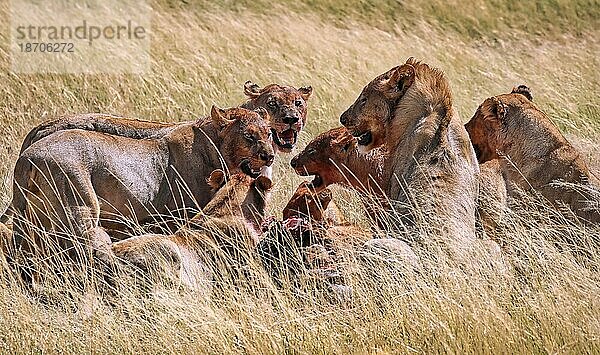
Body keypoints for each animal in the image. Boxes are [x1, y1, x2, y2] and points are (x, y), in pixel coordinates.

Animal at [6, 105, 274, 276]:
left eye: (269, 134)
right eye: (249, 136)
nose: (269, 156)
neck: (215, 148)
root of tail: (27, 157)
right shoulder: (181, 217)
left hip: (30, 220)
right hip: (80, 212)